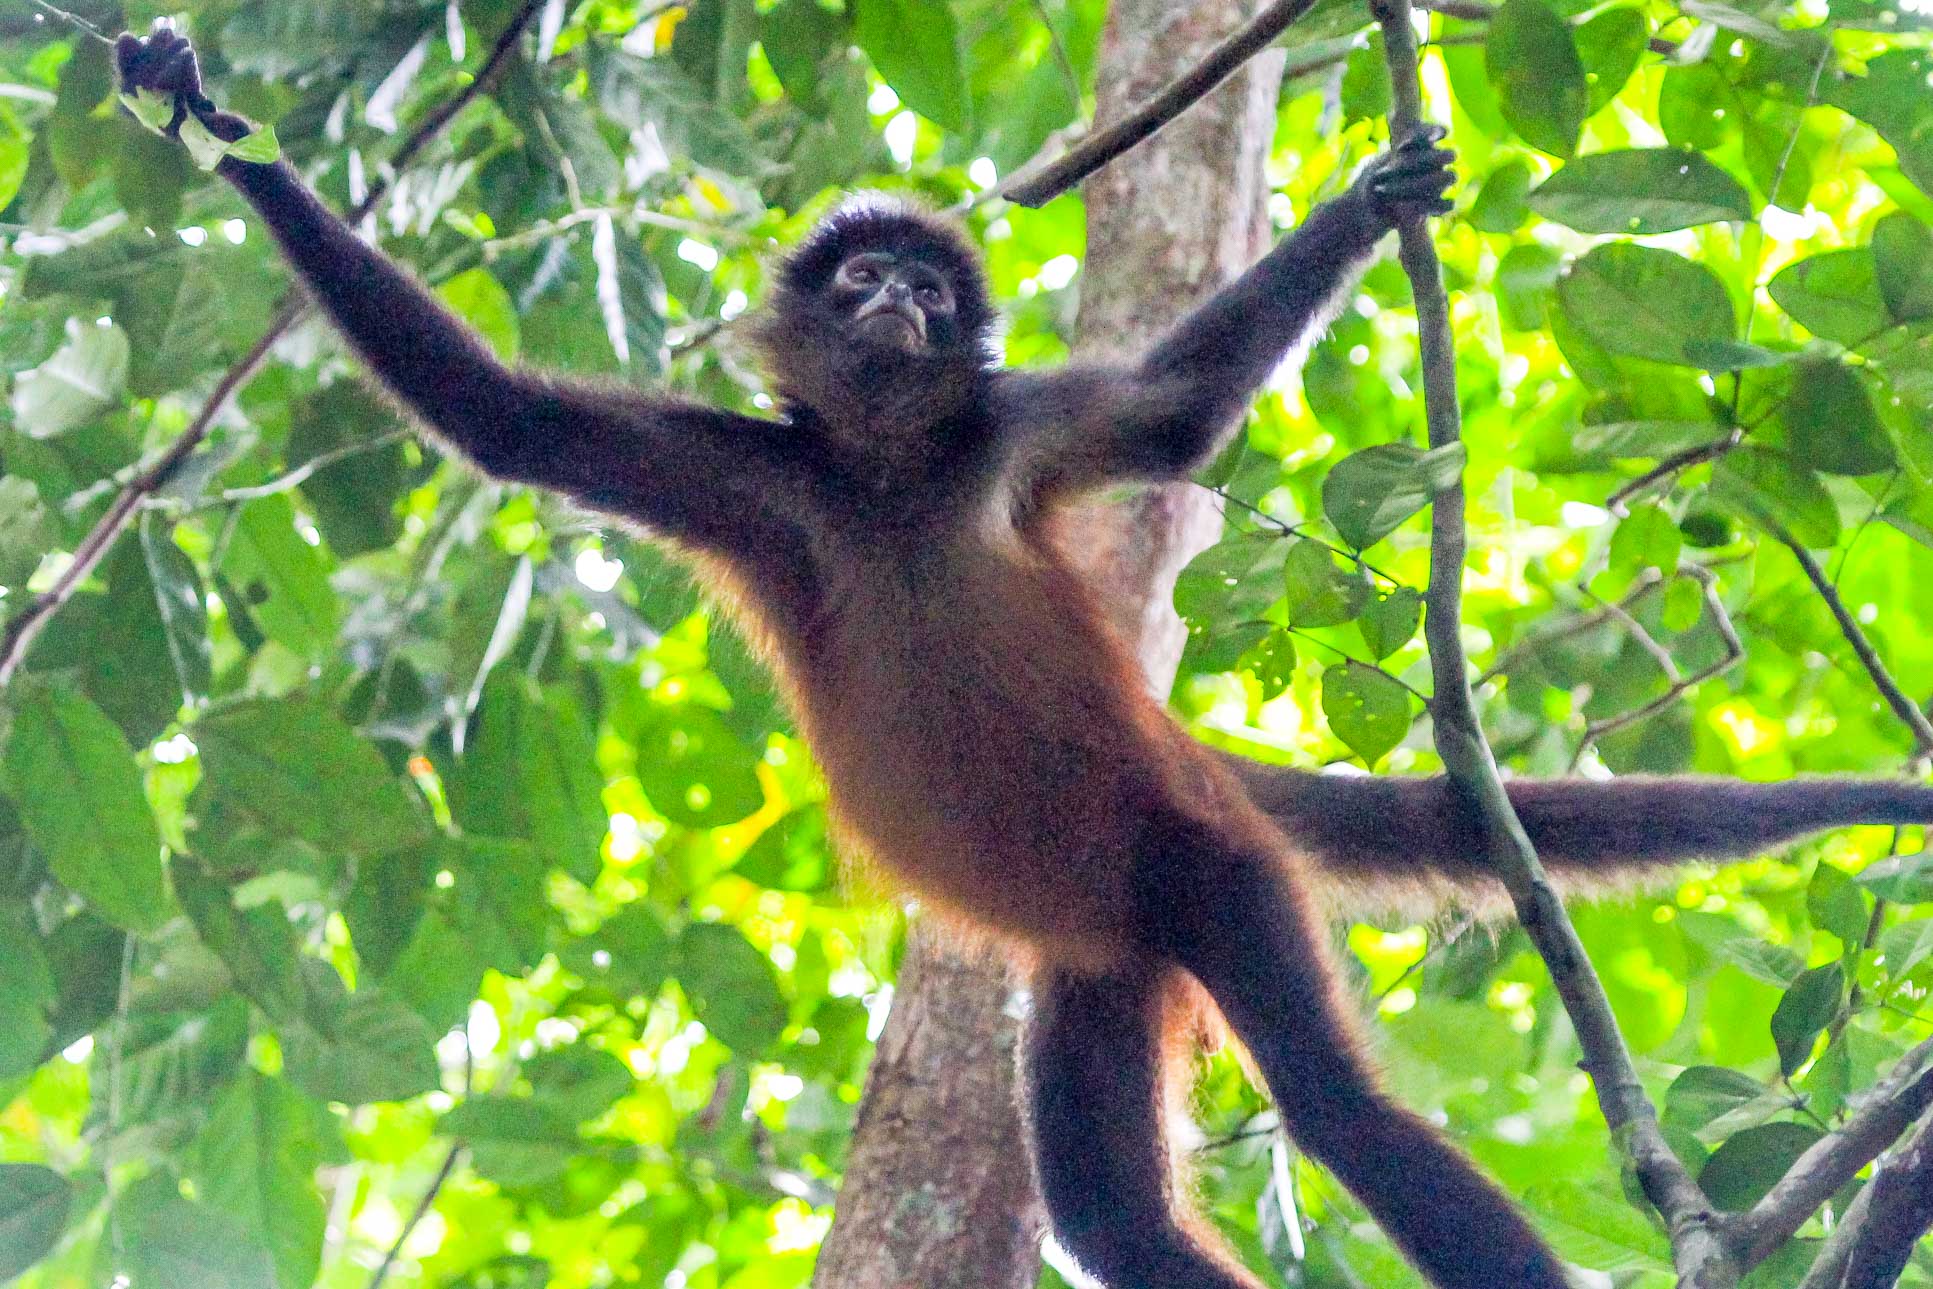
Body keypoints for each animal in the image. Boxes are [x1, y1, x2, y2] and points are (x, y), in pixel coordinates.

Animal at [117, 27, 1933, 1289]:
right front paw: (221, 142)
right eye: (866, 275)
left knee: (1335, 1115)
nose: (905, 297)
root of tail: (1193, 774)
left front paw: (1369, 200)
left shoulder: (1005, 436)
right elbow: (505, 420)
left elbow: (1171, 417)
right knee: (1115, 1220)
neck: (895, 475)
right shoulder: (761, 478)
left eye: (931, 287)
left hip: (1204, 867)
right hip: (1103, 954)